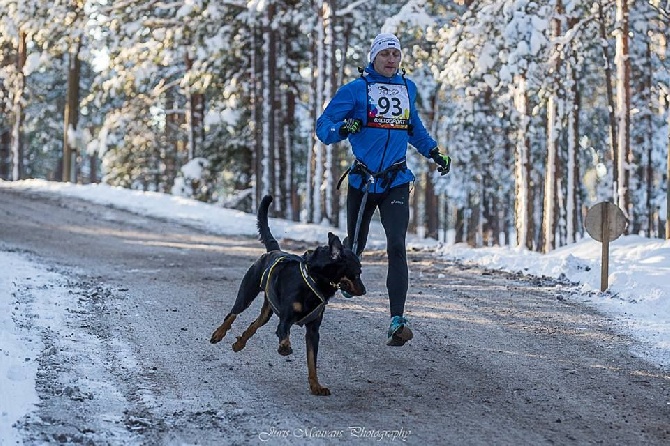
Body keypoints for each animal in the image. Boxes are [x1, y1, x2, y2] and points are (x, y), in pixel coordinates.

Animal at [210, 194, 368, 394]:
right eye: (358, 272)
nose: (364, 290)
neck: (315, 280)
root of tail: (274, 250)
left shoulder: (313, 330)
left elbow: (312, 361)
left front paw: (316, 385)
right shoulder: (286, 317)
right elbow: (283, 332)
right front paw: (285, 347)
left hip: (268, 310)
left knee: (255, 324)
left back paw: (240, 343)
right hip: (247, 292)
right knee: (232, 313)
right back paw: (218, 334)